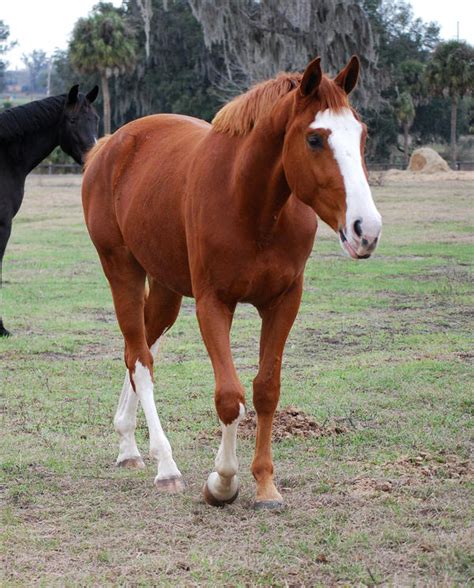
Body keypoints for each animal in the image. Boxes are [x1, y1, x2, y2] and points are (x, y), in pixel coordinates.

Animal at [83, 57, 384, 508]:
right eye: (315, 139)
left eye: (361, 135)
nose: (366, 229)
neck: (250, 203)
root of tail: (109, 145)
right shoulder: (213, 303)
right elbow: (229, 397)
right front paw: (223, 481)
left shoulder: (284, 301)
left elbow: (265, 390)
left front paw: (265, 484)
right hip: (122, 269)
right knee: (139, 357)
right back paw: (165, 465)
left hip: (166, 288)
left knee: (140, 349)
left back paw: (128, 445)